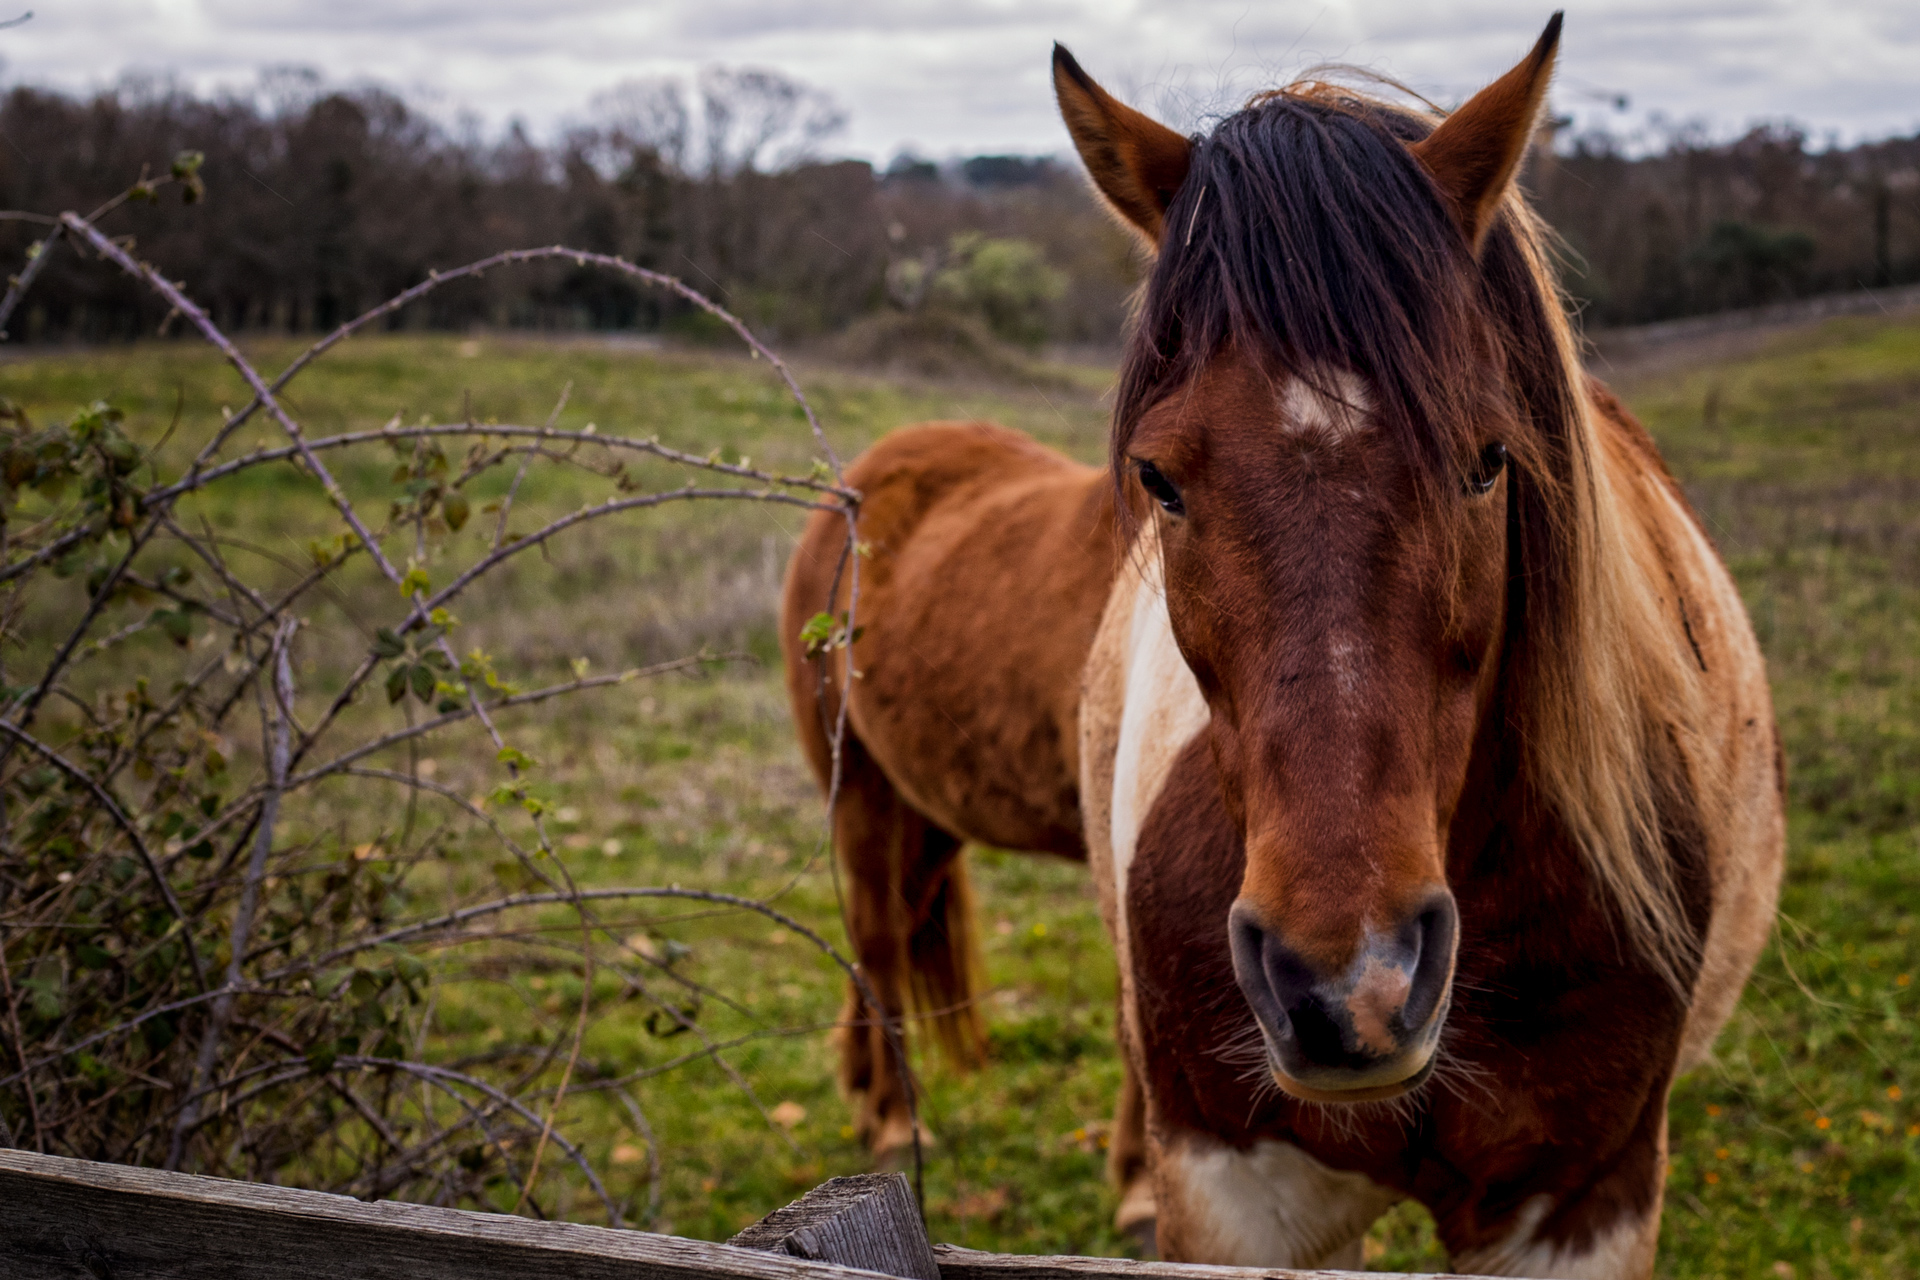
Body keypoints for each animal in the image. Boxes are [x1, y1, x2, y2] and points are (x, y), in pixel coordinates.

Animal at [783, 16, 1784, 1276]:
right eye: (1159, 477)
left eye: (1488, 459)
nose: (1345, 986)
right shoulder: (1238, 1184)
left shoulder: (1583, 1202)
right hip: (862, 794)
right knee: (873, 938)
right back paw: (886, 1115)